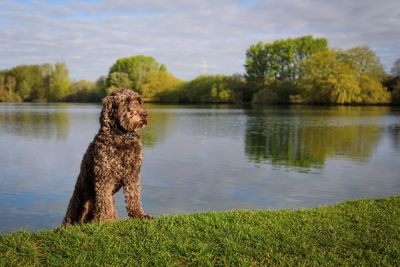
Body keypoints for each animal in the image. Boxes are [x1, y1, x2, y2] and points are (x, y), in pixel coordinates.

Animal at [64, 88, 152, 226]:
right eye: (126, 102)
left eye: (138, 101)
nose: (144, 114)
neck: (123, 136)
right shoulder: (104, 175)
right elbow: (104, 201)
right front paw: (106, 220)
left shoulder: (133, 174)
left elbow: (134, 196)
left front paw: (139, 215)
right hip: (79, 204)